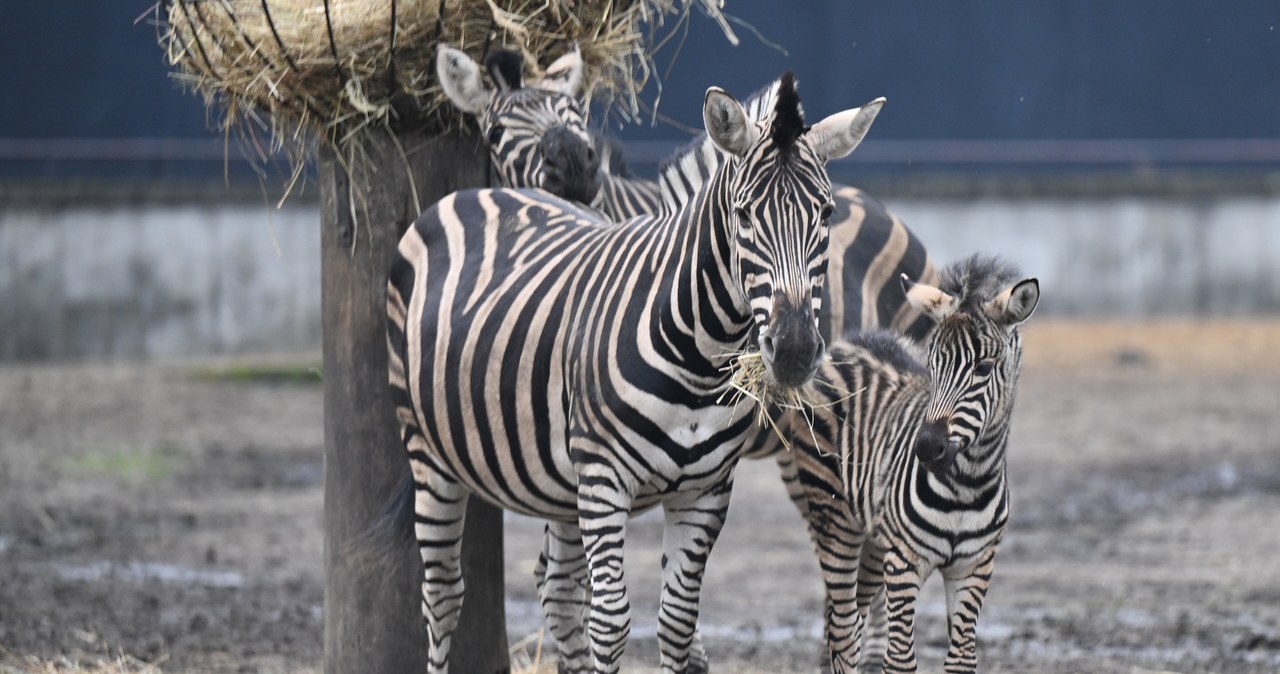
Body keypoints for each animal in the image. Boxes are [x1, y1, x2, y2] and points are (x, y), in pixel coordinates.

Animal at [387, 72, 885, 672]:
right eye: (743, 215)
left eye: (827, 214)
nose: (792, 350)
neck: (700, 359)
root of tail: (475, 193)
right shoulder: (604, 477)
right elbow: (611, 621)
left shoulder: (707, 488)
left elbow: (677, 624)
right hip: (427, 448)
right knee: (444, 594)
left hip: (564, 482)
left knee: (557, 589)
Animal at [780, 254, 1039, 673]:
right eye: (931, 364)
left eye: (983, 369)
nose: (927, 447)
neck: (969, 483)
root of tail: (851, 339)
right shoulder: (905, 562)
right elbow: (900, 659)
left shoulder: (974, 568)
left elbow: (962, 658)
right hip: (833, 516)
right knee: (842, 631)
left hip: (874, 540)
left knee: (854, 621)